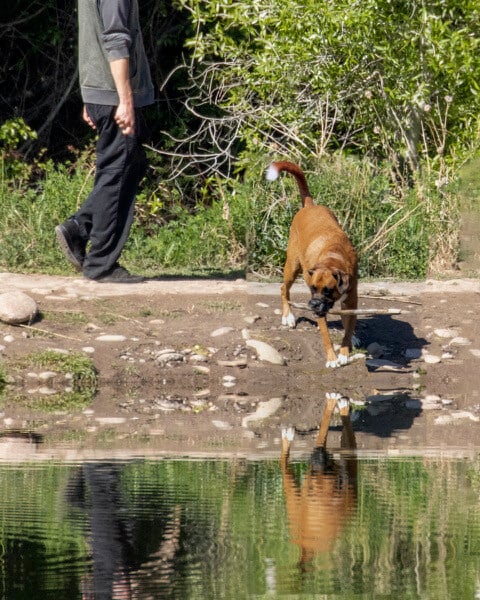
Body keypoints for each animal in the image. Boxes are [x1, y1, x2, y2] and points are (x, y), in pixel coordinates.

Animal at [264, 161, 358, 366]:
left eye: (328, 290)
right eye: (312, 288)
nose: (313, 304)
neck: (334, 256)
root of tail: (310, 205)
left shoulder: (351, 300)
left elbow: (348, 327)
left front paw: (345, 351)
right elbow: (326, 335)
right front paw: (332, 358)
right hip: (292, 267)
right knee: (284, 289)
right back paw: (288, 317)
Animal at [282, 394, 356, 568]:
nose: (319, 455)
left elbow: (323, 430)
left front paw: (333, 405)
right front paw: (340, 407)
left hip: (295, 508)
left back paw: (286, 440)